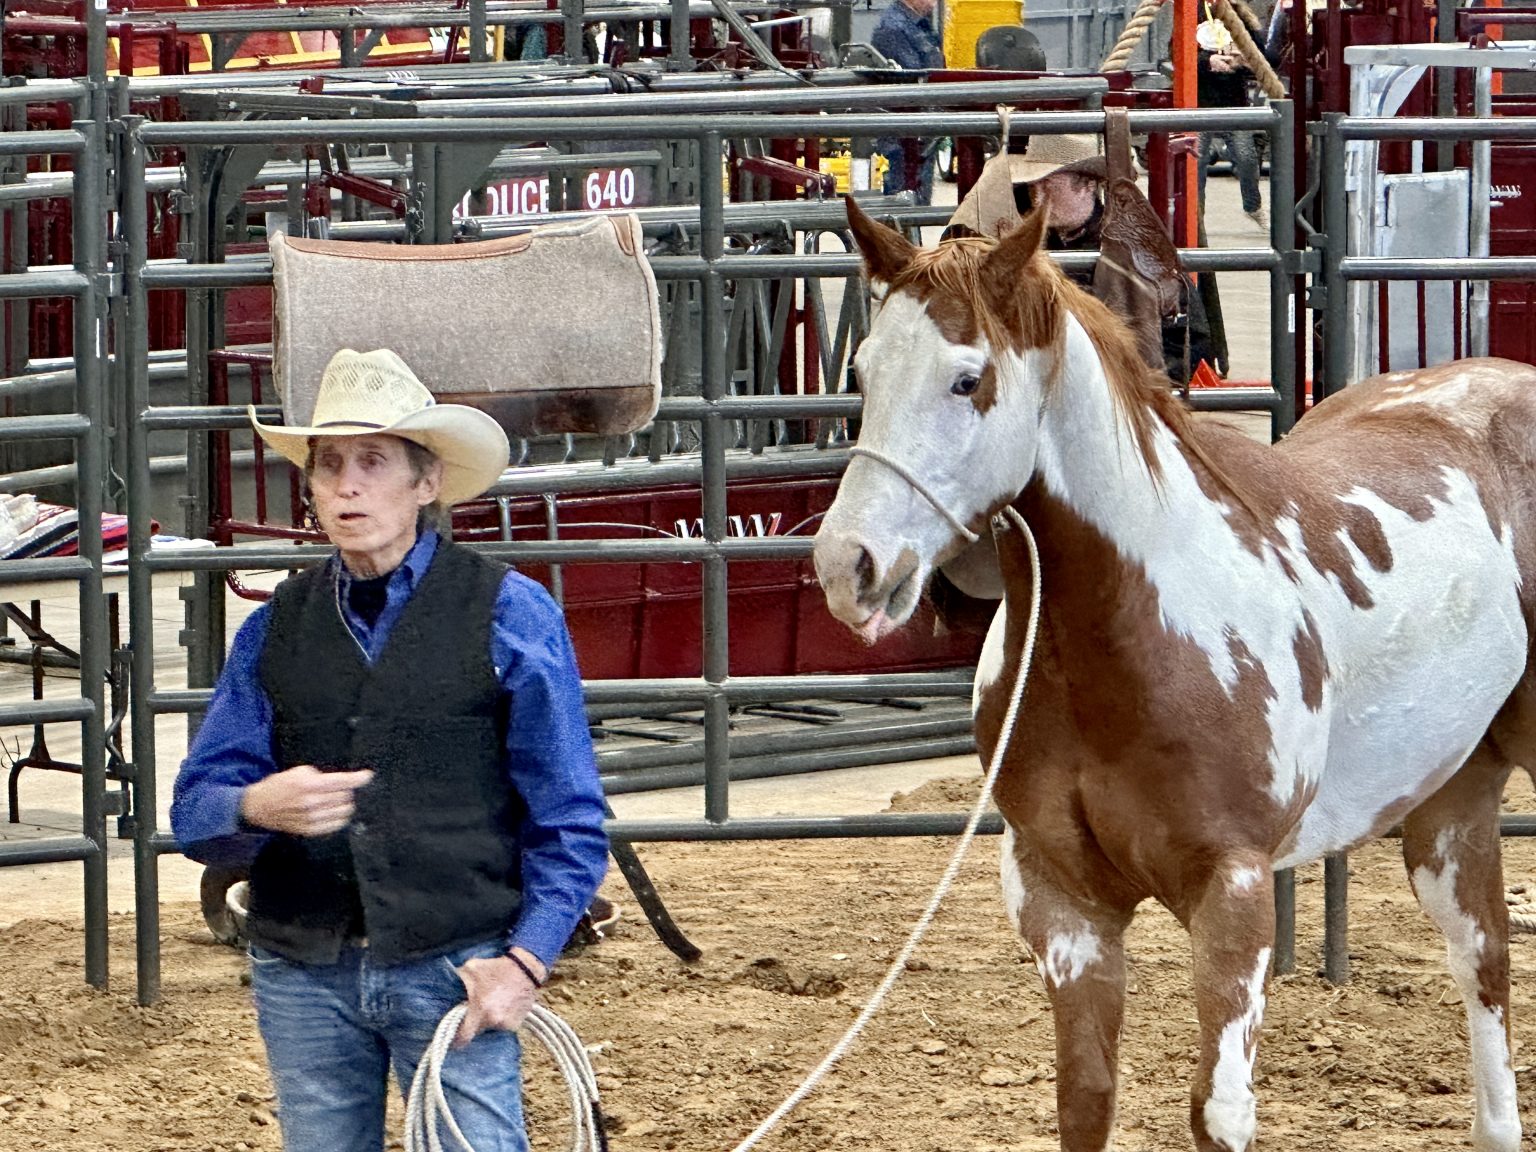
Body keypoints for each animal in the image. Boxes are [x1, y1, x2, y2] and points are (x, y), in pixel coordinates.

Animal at [814, 196, 1536, 1152]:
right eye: (863, 373)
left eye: (968, 381)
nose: (847, 566)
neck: (1128, 637)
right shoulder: (1062, 900)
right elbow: (1085, 1099)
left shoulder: (1233, 891)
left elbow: (1218, 1112)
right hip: (1453, 795)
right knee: (1481, 953)